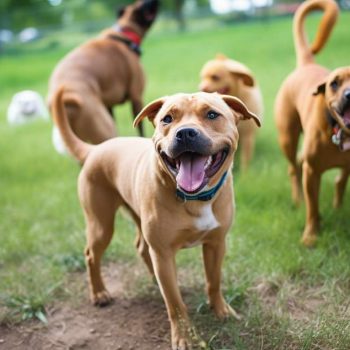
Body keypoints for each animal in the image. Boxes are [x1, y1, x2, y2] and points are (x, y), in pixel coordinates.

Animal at [47, 0, 159, 150]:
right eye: (142, 6)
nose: (152, 1)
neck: (124, 33)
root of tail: (66, 97)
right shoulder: (136, 97)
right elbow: (140, 128)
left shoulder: (108, 106)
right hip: (105, 127)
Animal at [52, 86, 260, 348]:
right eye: (167, 119)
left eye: (212, 115)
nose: (185, 133)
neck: (195, 198)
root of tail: (96, 148)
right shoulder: (163, 253)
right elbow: (175, 304)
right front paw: (184, 337)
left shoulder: (216, 244)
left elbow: (214, 281)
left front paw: (221, 310)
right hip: (101, 225)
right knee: (91, 254)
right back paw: (99, 293)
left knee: (142, 248)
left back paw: (152, 279)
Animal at [274, 0, 350, 246]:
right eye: (335, 83)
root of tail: (306, 64)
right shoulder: (312, 172)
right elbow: (313, 208)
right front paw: (311, 235)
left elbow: (340, 181)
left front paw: (337, 208)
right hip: (287, 138)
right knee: (293, 168)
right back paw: (298, 200)